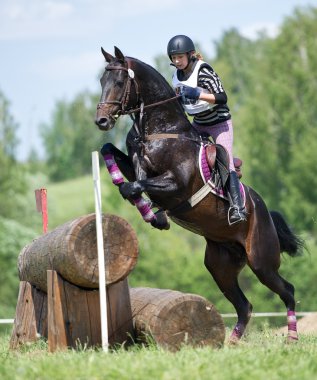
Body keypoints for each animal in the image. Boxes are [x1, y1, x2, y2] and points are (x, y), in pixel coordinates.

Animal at [94, 46, 302, 344]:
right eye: (102, 81)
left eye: (120, 82)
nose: (101, 120)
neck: (161, 130)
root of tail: (264, 213)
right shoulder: (138, 166)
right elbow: (110, 152)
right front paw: (148, 208)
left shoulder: (177, 185)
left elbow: (134, 187)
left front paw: (153, 215)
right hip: (220, 265)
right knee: (245, 306)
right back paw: (231, 343)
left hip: (261, 261)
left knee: (288, 291)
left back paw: (292, 338)